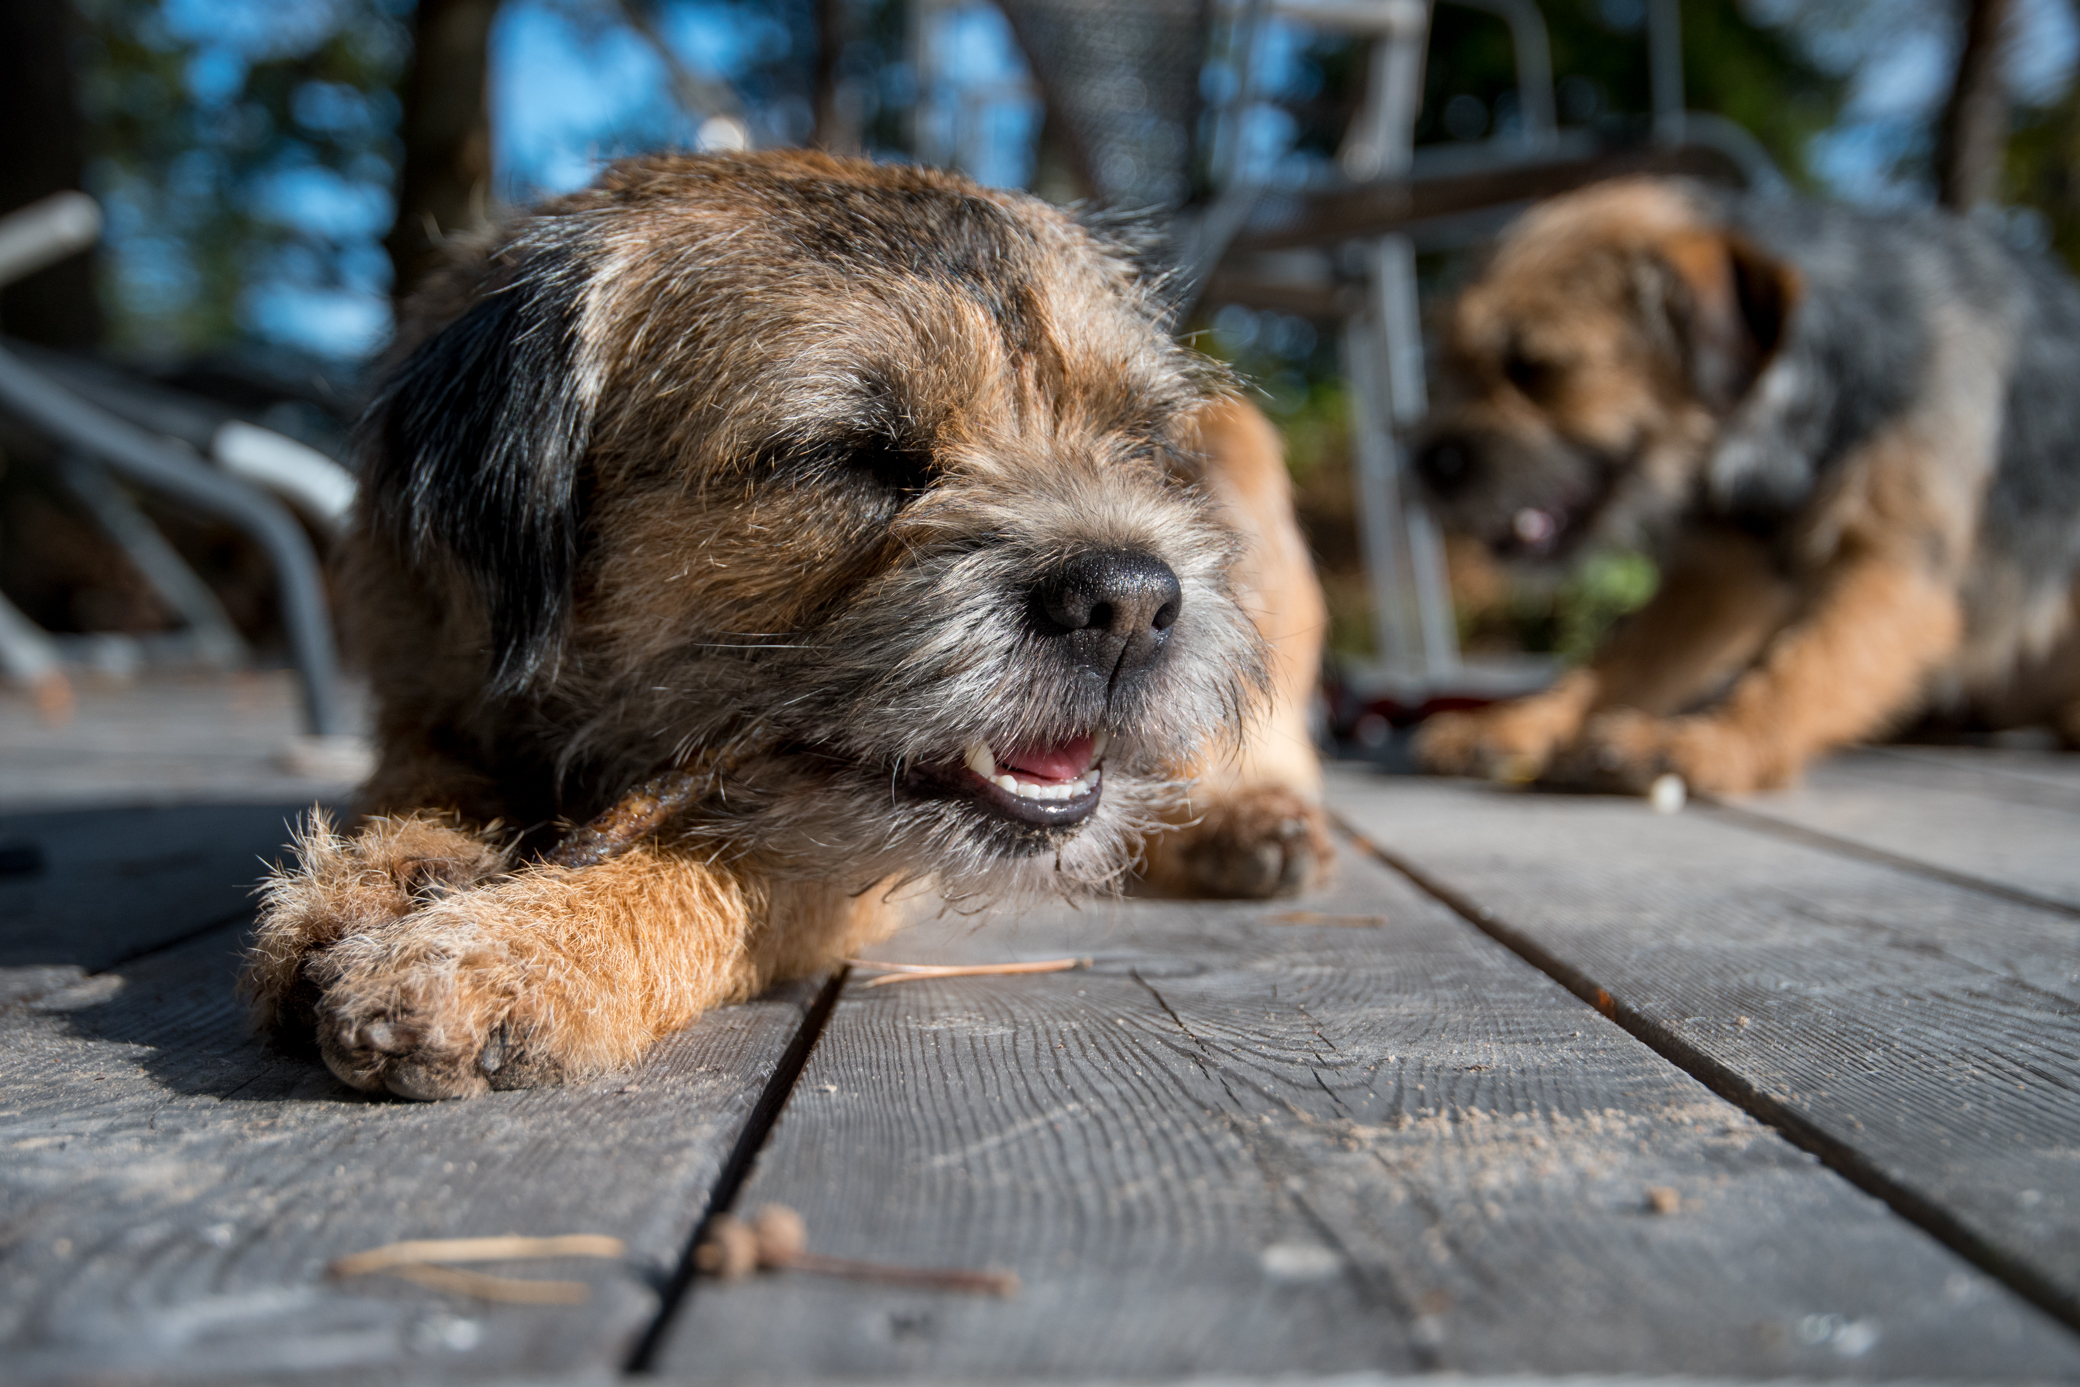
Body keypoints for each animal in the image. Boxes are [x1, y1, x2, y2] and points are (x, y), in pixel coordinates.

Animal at [243, 151, 1331, 1097]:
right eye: (854, 455)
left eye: (1138, 440)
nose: (1131, 601)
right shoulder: (427, 699)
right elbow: (411, 783)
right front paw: (382, 873)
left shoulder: (842, 856)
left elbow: (709, 860)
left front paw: (514, 948)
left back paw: (1252, 817)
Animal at [1406, 178, 2080, 798]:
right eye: (1450, 362)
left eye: (1536, 368)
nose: (1428, 464)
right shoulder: (1720, 578)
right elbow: (1621, 660)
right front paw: (1520, 724)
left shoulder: (1894, 568)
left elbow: (1808, 665)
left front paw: (1713, 743)